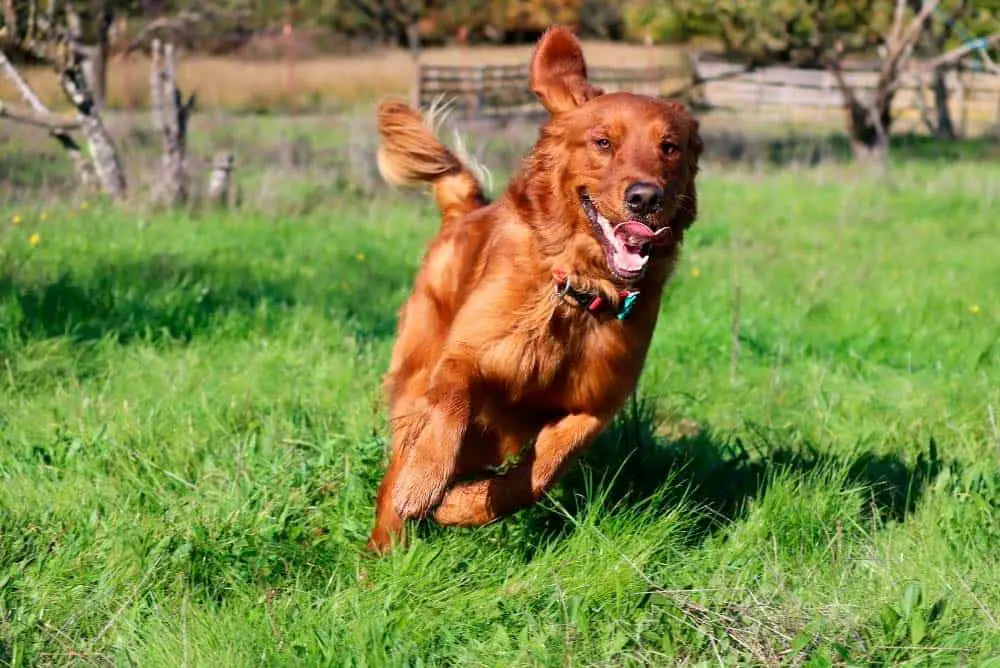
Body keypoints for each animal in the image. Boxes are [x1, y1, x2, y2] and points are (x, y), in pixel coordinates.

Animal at [368, 24, 704, 552]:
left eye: (669, 147)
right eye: (603, 142)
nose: (646, 197)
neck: (577, 294)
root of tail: (463, 211)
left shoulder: (595, 403)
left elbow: (545, 468)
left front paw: (461, 505)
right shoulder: (465, 355)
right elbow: (451, 405)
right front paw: (424, 485)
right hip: (417, 370)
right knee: (399, 463)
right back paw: (387, 546)